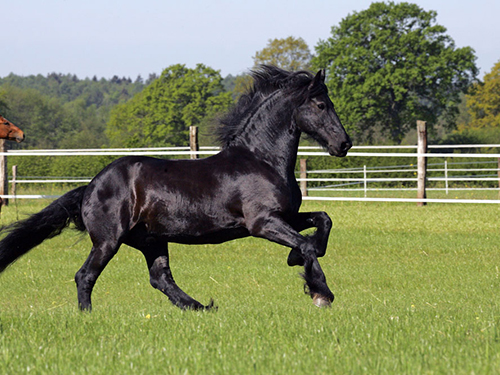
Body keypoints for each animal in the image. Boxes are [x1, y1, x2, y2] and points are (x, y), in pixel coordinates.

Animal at [0, 67, 352, 312]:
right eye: (321, 104)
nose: (344, 144)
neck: (261, 160)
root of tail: (90, 187)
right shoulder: (262, 222)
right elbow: (307, 244)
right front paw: (321, 292)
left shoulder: (286, 216)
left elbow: (323, 221)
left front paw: (296, 260)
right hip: (109, 240)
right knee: (85, 275)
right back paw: (88, 315)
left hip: (151, 240)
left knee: (161, 278)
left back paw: (201, 307)